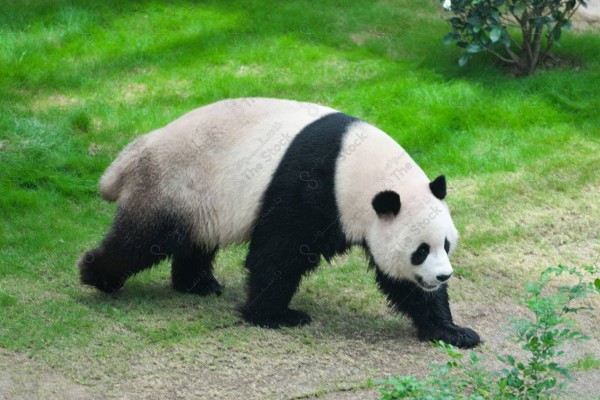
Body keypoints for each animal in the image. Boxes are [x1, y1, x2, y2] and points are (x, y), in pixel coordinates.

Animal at [79, 97, 480, 346]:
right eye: (420, 250)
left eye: (445, 245)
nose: (443, 276)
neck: (353, 166)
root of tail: (137, 150)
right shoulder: (310, 184)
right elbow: (278, 252)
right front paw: (276, 316)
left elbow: (402, 285)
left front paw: (453, 331)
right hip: (173, 182)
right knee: (142, 240)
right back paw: (97, 275)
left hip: (197, 200)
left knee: (194, 240)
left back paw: (197, 283)